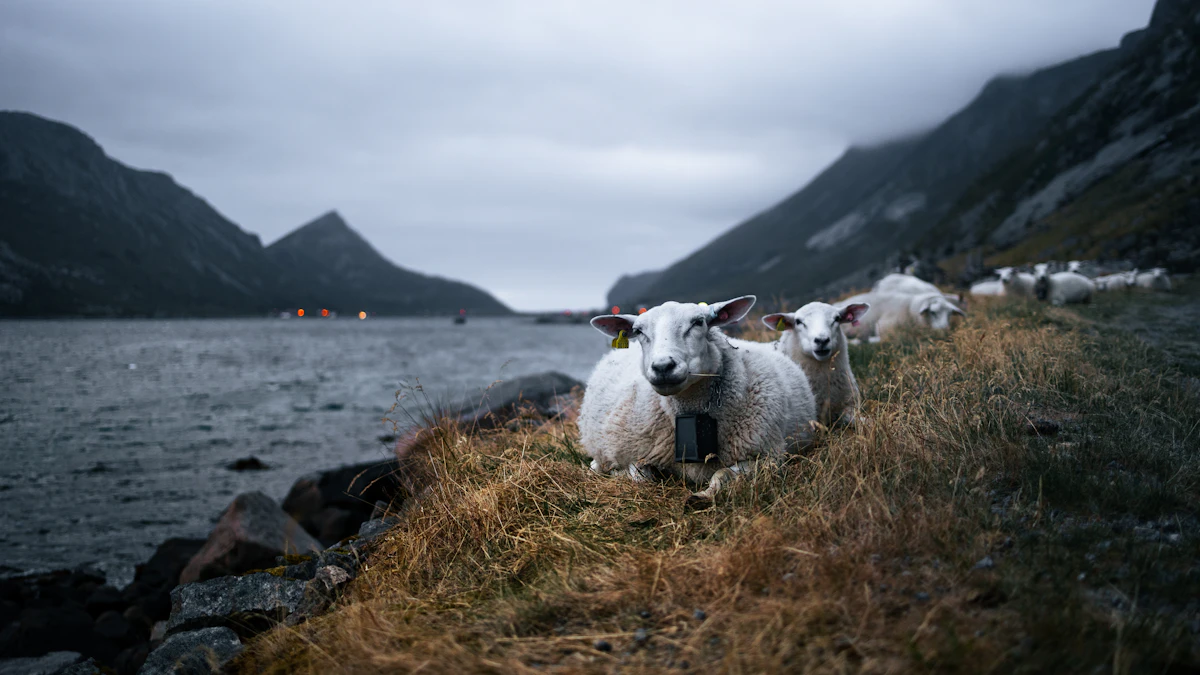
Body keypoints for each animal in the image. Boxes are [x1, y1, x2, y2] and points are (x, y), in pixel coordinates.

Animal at [579, 295, 816, 506]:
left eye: (698, 322)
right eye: (638, 331)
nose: (663, 367)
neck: (690, 412)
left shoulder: (766, 458)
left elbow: (722, 474)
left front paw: (702, 497)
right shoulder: (641, 455)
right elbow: (639, 476)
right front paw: (620, 474)